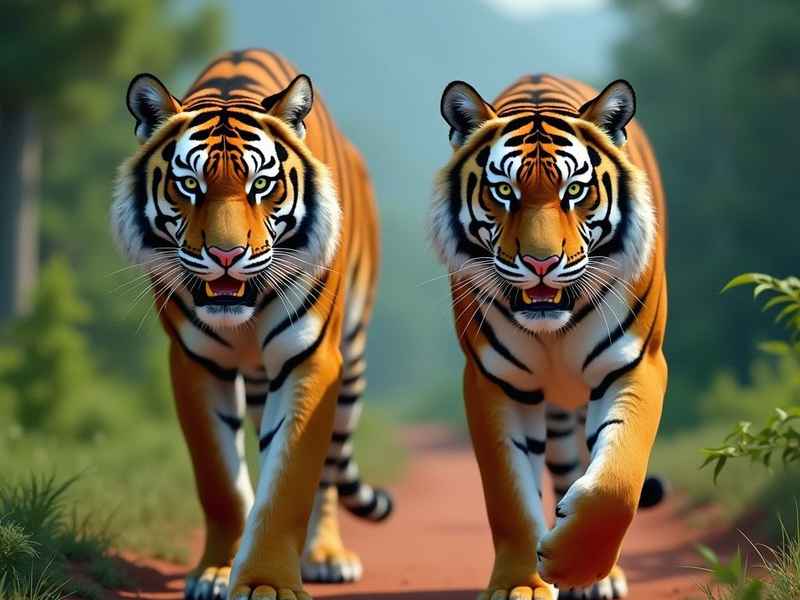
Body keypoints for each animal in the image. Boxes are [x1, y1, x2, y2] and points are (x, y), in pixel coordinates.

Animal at [111, 49, 392, 600]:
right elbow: (219, 478)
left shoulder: (310, 357)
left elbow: (291, 479)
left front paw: (266, 581)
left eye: (261, 185)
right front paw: (219, 571)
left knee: (331, 469)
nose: (225, 255)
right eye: (189, 185)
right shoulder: (196, 363)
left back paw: (325, 556)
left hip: (350, 364)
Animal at [429, 74, 667, 600]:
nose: (541, 263)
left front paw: (574, 566)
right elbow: (510, 496)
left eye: (575, 190)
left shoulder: (635, 364)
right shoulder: (495, 381)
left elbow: (616, 483)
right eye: (503, 191)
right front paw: (521, 583)